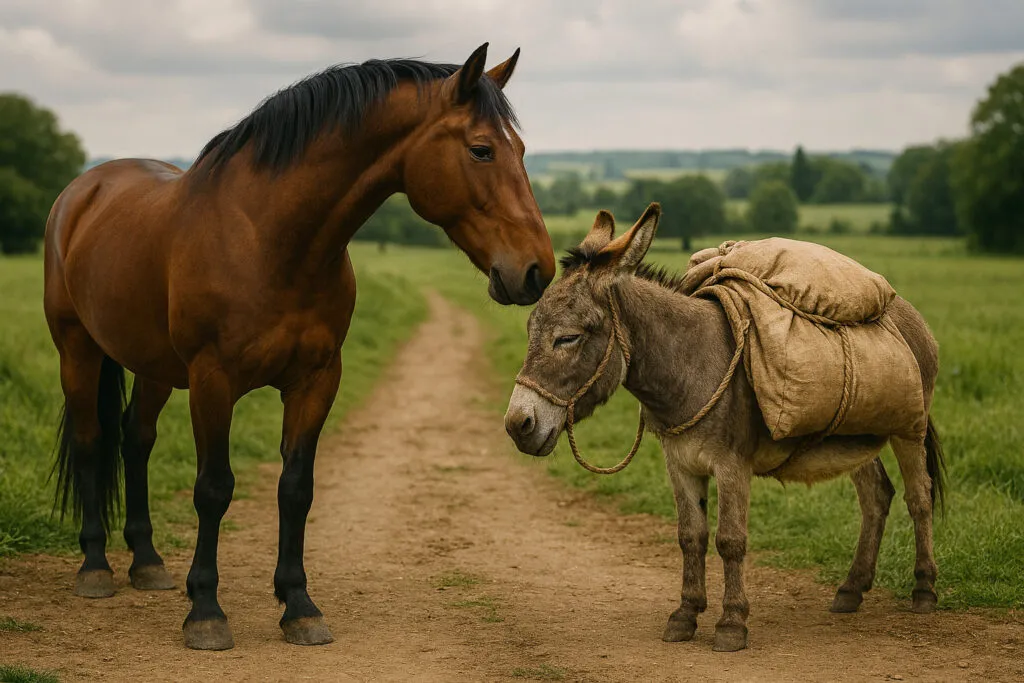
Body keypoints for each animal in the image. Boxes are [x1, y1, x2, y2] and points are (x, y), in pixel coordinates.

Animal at [43, 43, 555, 651]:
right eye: (481, 150)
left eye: (520, 149)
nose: (537, 270)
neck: (269, 239)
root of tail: (84, 189)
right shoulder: (212, 381)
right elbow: (214, 488)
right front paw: (206, 612)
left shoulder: (317, 380)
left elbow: (296, 488)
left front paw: (299, 606)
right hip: (77, 350)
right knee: (91, 441)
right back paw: (95, 567)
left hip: (154, 368)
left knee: (135, 439)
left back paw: (146, 562)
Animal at [504, 205, 944, 652]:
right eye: (530, 332)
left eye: (567, 338)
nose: (517, 424)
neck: (692, 363)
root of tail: (906, 311)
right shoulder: (680, 464)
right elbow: (691, 536)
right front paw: (685, 615)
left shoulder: (733, 466)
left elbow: (730, 540)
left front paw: (732, 623)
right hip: (856, 437)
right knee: (876, 496)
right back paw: (851, 590)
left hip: (908, 429)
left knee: (919, 498)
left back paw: (924, 590)